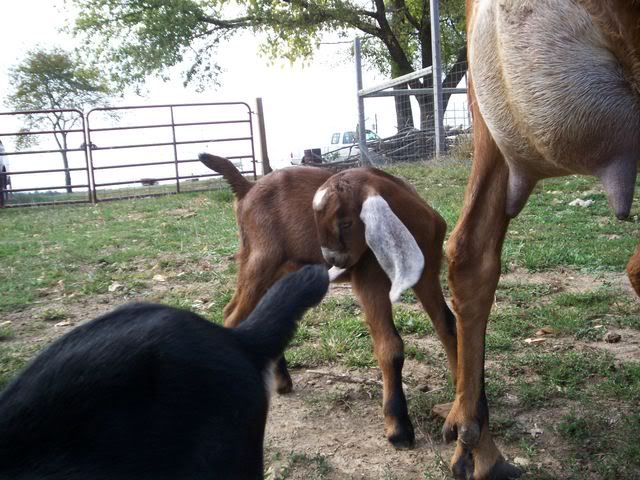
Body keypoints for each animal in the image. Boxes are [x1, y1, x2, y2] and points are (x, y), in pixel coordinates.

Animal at [199, 153, 456, 449]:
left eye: (345, 222)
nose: (331, 260)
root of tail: (247, 188)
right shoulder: (369, 278)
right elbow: (389, 346)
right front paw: (398, 428)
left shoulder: (427, 273)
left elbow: (448, 326)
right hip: (260, 258)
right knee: (232, 314)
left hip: (282, 268)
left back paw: (282, 381)